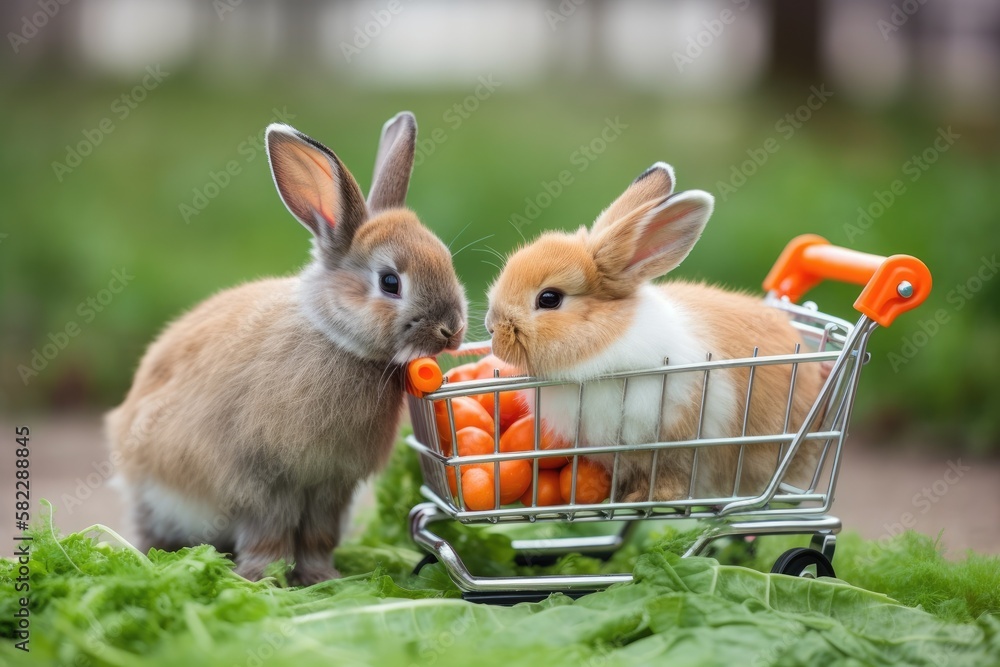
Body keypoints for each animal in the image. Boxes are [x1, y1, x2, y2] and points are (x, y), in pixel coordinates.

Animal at [484, 164, 820, 504]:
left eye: (549, 299)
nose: (491, 329)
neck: (607, 342)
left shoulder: (678, 437)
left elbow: (671, 474)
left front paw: (645, 497)